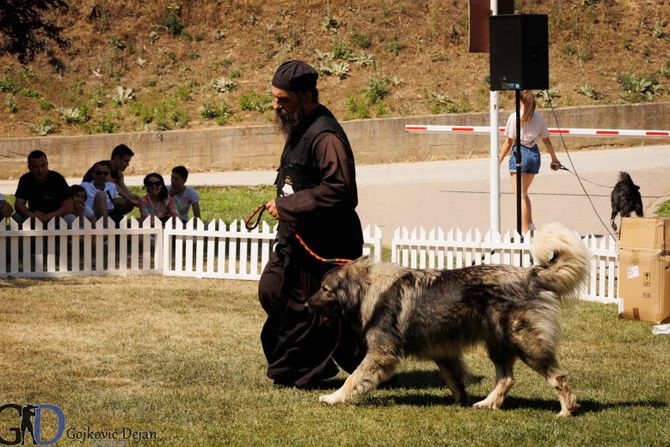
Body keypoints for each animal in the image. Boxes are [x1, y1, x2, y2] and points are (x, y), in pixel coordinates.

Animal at [308, 224, 592, 416]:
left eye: (324, 288)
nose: (307, 304)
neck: (368, 288)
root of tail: (532, 275)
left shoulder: (381, 353)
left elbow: (354, 378)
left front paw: (334, 397)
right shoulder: (442, 351)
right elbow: (454, 378)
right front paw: (461, 400)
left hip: (525, 343)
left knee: (558, 376)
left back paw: (566, 410)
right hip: (497, 344)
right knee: (506, 378)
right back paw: (487, 403)